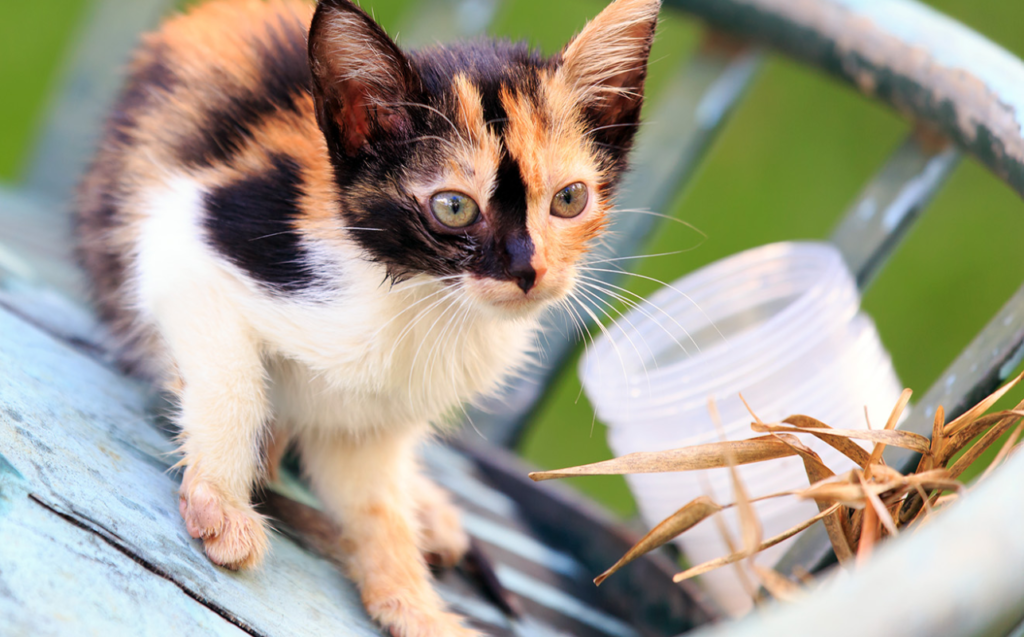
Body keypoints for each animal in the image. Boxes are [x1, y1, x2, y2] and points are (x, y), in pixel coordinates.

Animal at [75, 1, 659, 634]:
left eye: (569, 199)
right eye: (454, 207)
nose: (528, 270)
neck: (419, 292)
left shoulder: (371, 422)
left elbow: (375, 499)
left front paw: (413, 603)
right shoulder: (192, 236)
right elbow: (235, 382)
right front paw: (221, 504)